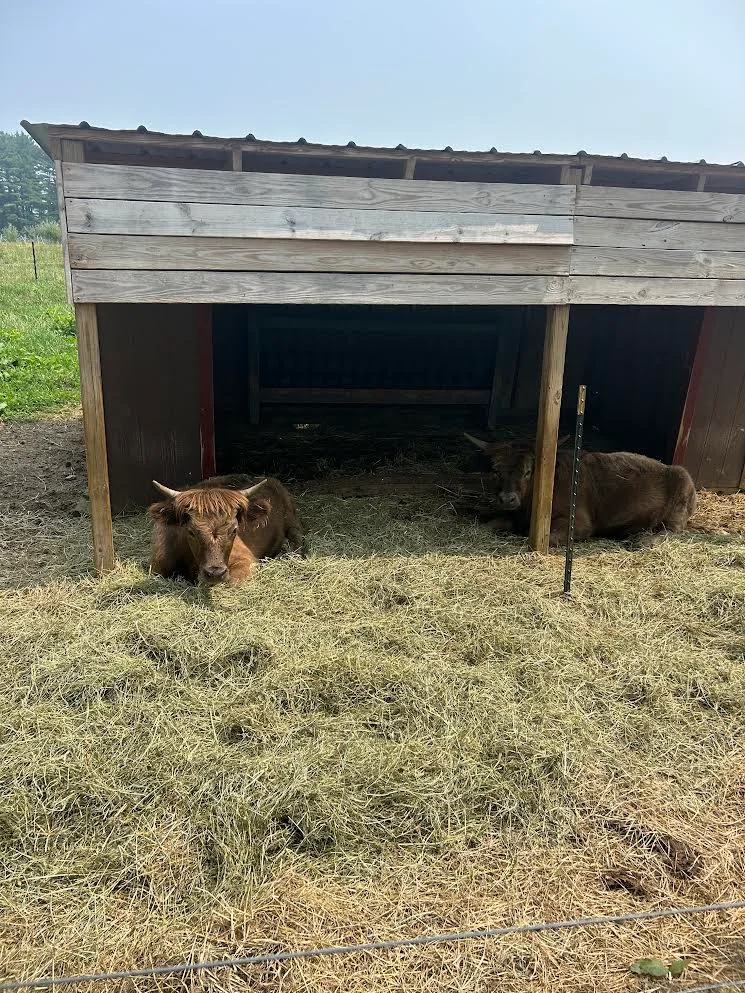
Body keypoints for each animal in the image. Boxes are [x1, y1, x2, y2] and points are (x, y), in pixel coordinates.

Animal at [463, 434, 697, 547]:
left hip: (679, 501)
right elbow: (490, 524)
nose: (507, 499)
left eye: (528, 471)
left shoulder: (579, 523)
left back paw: (643, 541)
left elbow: (549, 537)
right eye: (495, 470)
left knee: (670, 531)